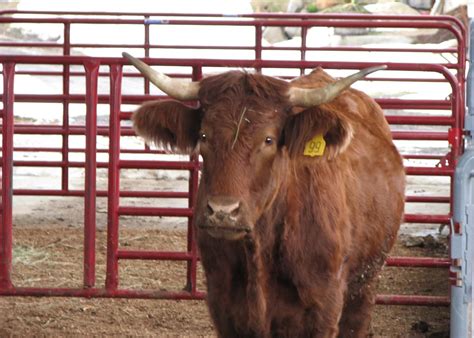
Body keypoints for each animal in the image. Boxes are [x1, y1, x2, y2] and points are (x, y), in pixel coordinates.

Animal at [124, 52, 406, 338]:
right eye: (203, 135)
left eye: (268, 140)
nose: (222, 212)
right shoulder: (223, 307)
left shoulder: (324, 310)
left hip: (365, 285)